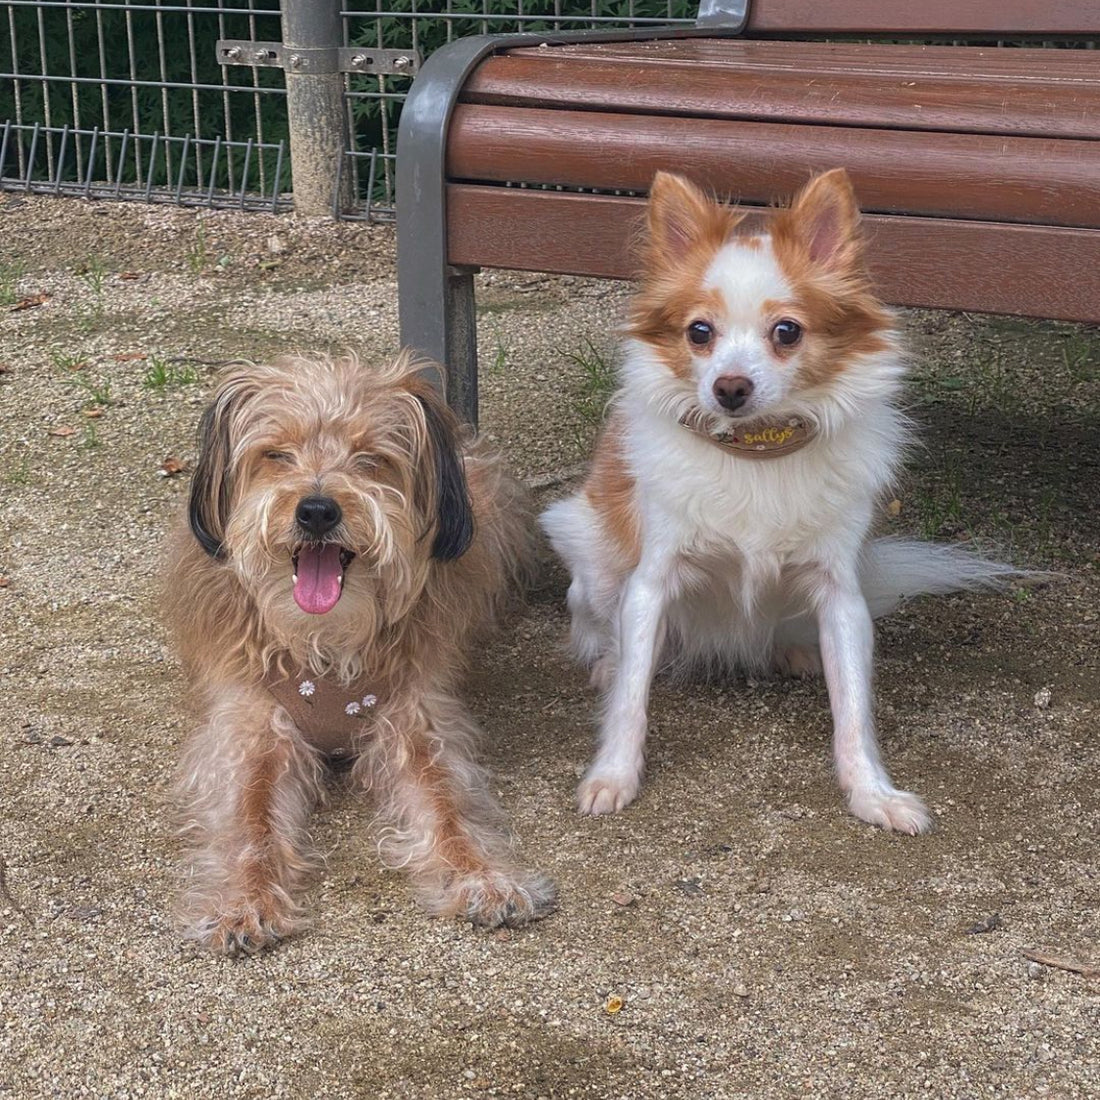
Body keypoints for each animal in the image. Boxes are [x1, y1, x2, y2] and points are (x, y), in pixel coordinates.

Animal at [162, 352, 554, 954]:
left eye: (371, 458)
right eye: (277, 454)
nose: (317, 510)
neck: (324, 641)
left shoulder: (416, 720)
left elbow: (447, 807)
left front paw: (481, 876)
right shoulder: (250, 730)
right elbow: (251, 821)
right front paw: (244, 901)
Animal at [541, 167, 1012, 827]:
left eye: (786, 332)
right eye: (699, 333)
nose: (729, 387)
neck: (757, 451)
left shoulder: (841, 597)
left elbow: (854, 710)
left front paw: (872, 793)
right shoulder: (650, 584)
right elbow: (633, 697)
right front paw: (613, 774)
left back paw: (795, 653)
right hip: (593, 555)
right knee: (603, 632)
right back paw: (608, 660)